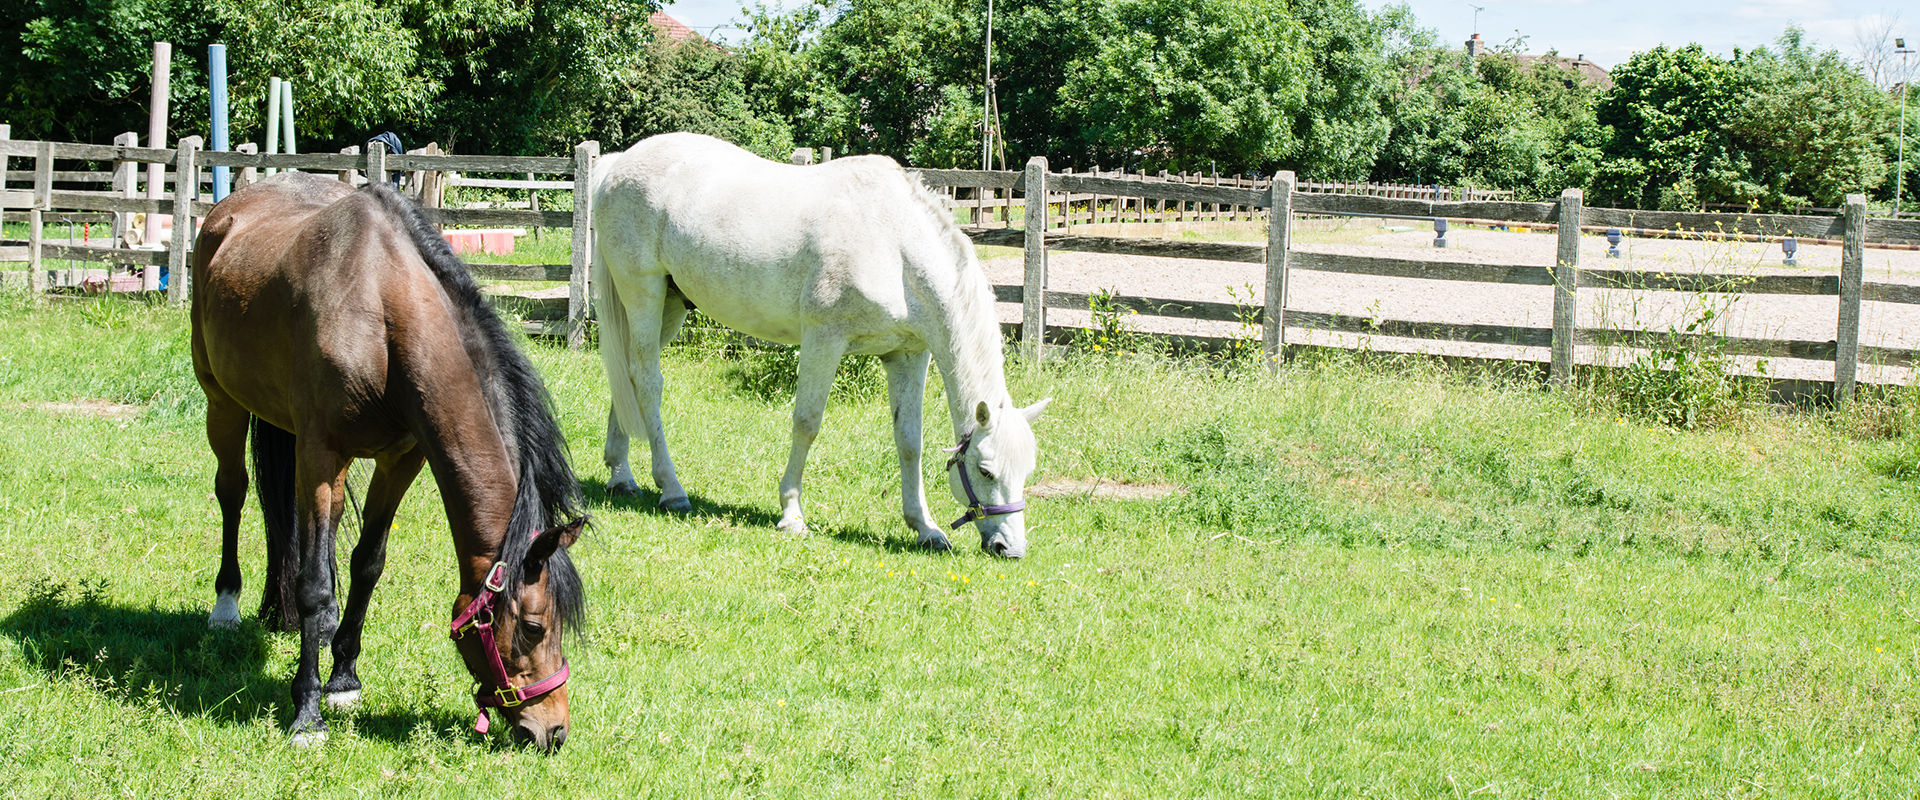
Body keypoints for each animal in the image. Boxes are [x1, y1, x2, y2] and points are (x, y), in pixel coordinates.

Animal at [193, 171, 587, 752]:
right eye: (535, 628)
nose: (554, 730)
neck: (382, 311)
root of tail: (228, 209)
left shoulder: (400, 459)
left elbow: (366, 563)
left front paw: (342, 679)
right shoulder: (323, 456)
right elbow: (316, 585)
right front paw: (307, 712)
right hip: (222, 401)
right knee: (234, 492)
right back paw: (227, 605)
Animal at [595, 132, 1052, 556]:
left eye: (1026, 472)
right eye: (986, 470)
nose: (1010, 548)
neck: (895, 245)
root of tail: (617, 165)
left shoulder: (907, 356)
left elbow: (909, 440)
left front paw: (925, 528)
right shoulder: (823, 340)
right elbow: (807, 423)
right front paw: (791, 514)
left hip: (671, 306)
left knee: (628, 377)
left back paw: (621, 477)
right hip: (644, 294)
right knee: (647, 383)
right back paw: (671, 489)